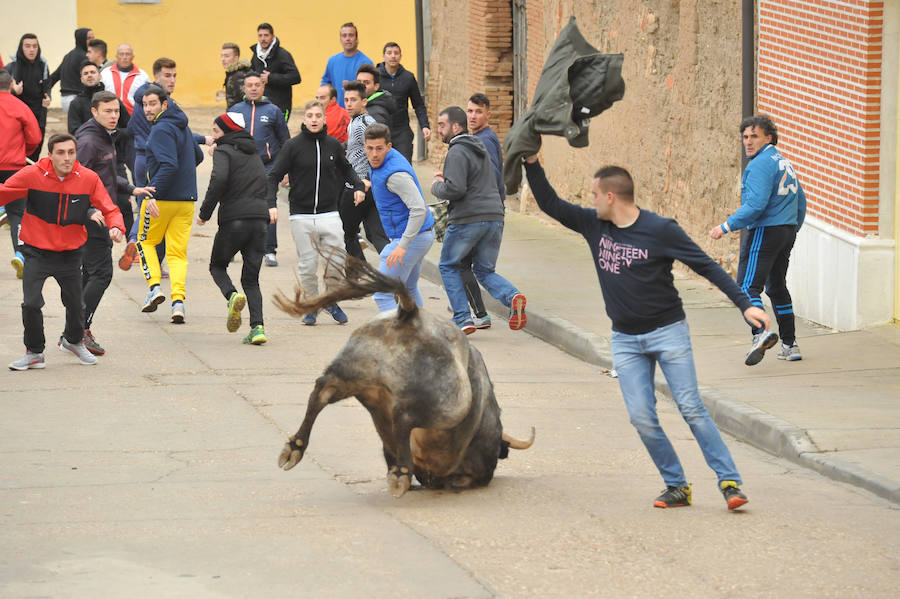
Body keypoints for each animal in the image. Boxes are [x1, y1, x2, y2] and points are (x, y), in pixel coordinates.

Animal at [270, 253, 532, 496]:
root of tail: (410, 314)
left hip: (354, 373)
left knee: (322, 390)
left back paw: (294, 447)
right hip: (450, 404)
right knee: (404, 417)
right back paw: (401, 473)